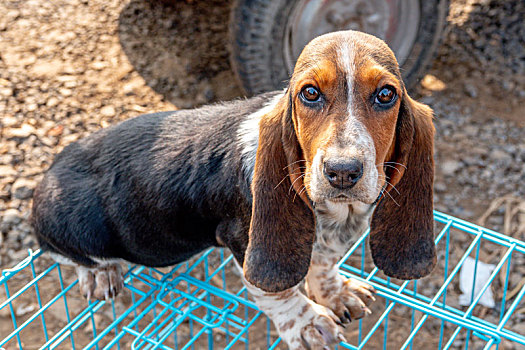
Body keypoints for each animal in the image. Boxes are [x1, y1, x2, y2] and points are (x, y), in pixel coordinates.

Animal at [30, 30, 436, 350]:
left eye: (386, 95)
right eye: (309, 93)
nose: (342, 172)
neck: (336, 211)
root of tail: (51, 169)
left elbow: (322, 262)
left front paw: (335, 293)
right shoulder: (244, 238)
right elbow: (278, 291)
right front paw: (308, 324)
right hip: (71, 224)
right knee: (63, 254)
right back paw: (100, 274)